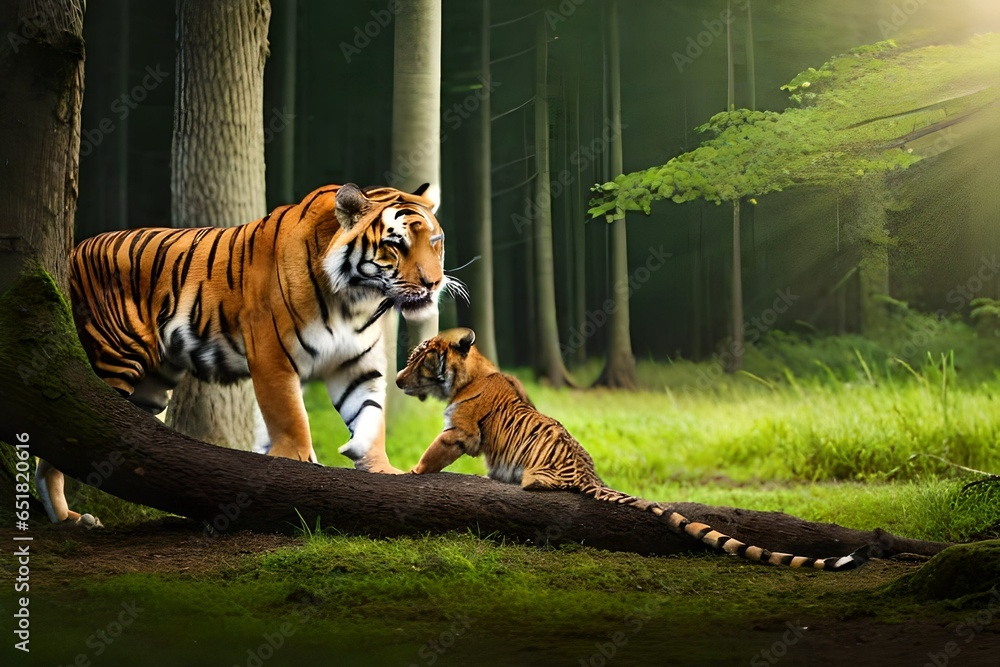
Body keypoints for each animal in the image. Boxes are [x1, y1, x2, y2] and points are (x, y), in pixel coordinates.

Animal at [36, 182, 450, 526]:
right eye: (396, 245)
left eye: (435, 241)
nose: (433, 284)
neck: (356, 300)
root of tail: (72, 251)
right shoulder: (272, 355)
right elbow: (290, 417)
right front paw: (299, 466)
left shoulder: (357, 366)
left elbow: (370, 417)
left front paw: (381, 469)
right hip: (113, 358)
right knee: (63, 433)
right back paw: (65, 517)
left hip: (151, 386)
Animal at [396, 328, 870, 571]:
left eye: (419, 357)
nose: (398, 379)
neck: (468, 375)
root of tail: (589, 473)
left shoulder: (458, 433)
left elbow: (430, 457)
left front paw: (405, 474)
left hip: (538, 472)